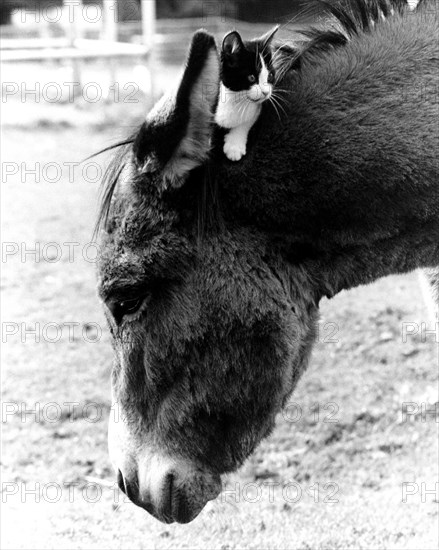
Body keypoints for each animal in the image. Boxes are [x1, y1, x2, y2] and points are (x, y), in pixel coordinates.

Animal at [216, 27, 278, 161]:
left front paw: (234, 146)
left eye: (270, 76)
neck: (233, 98)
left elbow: (246, 121)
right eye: (251, 77)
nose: (266, 92)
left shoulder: (256, 109)